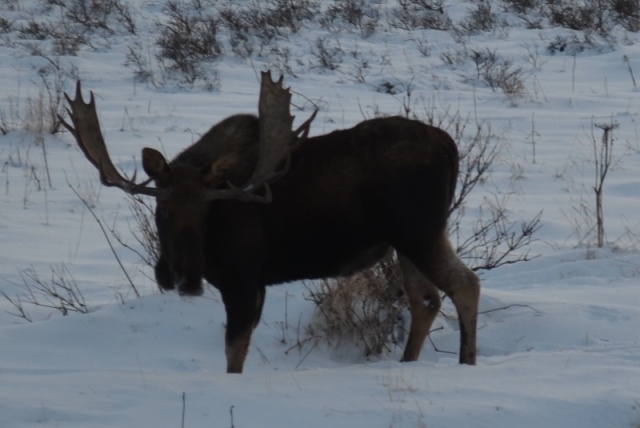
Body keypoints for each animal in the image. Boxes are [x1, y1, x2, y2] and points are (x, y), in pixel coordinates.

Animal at [60, 72, 480, 372]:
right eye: (162, 209)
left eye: (206, 211)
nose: (185, 277)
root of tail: (450, 146)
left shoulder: (244, 277)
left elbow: (234, 353)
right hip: (407, 240)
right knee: (426, 299)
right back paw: (410, 361)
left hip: (419, 232)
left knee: (465, 283)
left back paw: (467, 362)